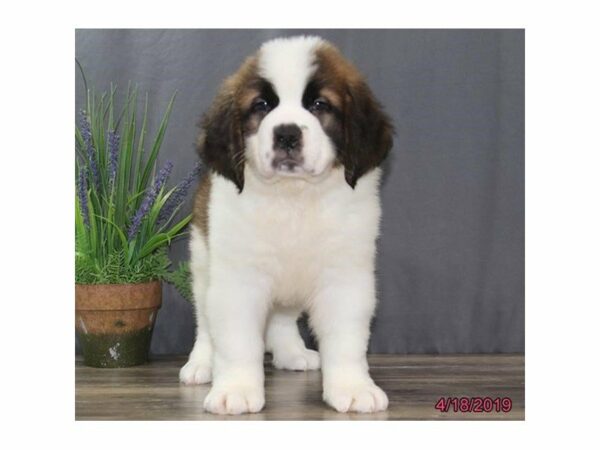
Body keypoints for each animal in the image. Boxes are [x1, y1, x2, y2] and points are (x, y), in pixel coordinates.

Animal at [178, 35, 394, 414]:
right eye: (261, 105)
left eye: (320, 105)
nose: (287, 134)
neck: (293, 198)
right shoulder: (238, 280)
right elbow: (236, 340)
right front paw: (235, 388)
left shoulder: (345, 277)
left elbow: (347, 338)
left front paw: (353, 386)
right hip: (203, 261)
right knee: (204, 319)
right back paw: (202, 362)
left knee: (281, 316)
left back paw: (291, 352)